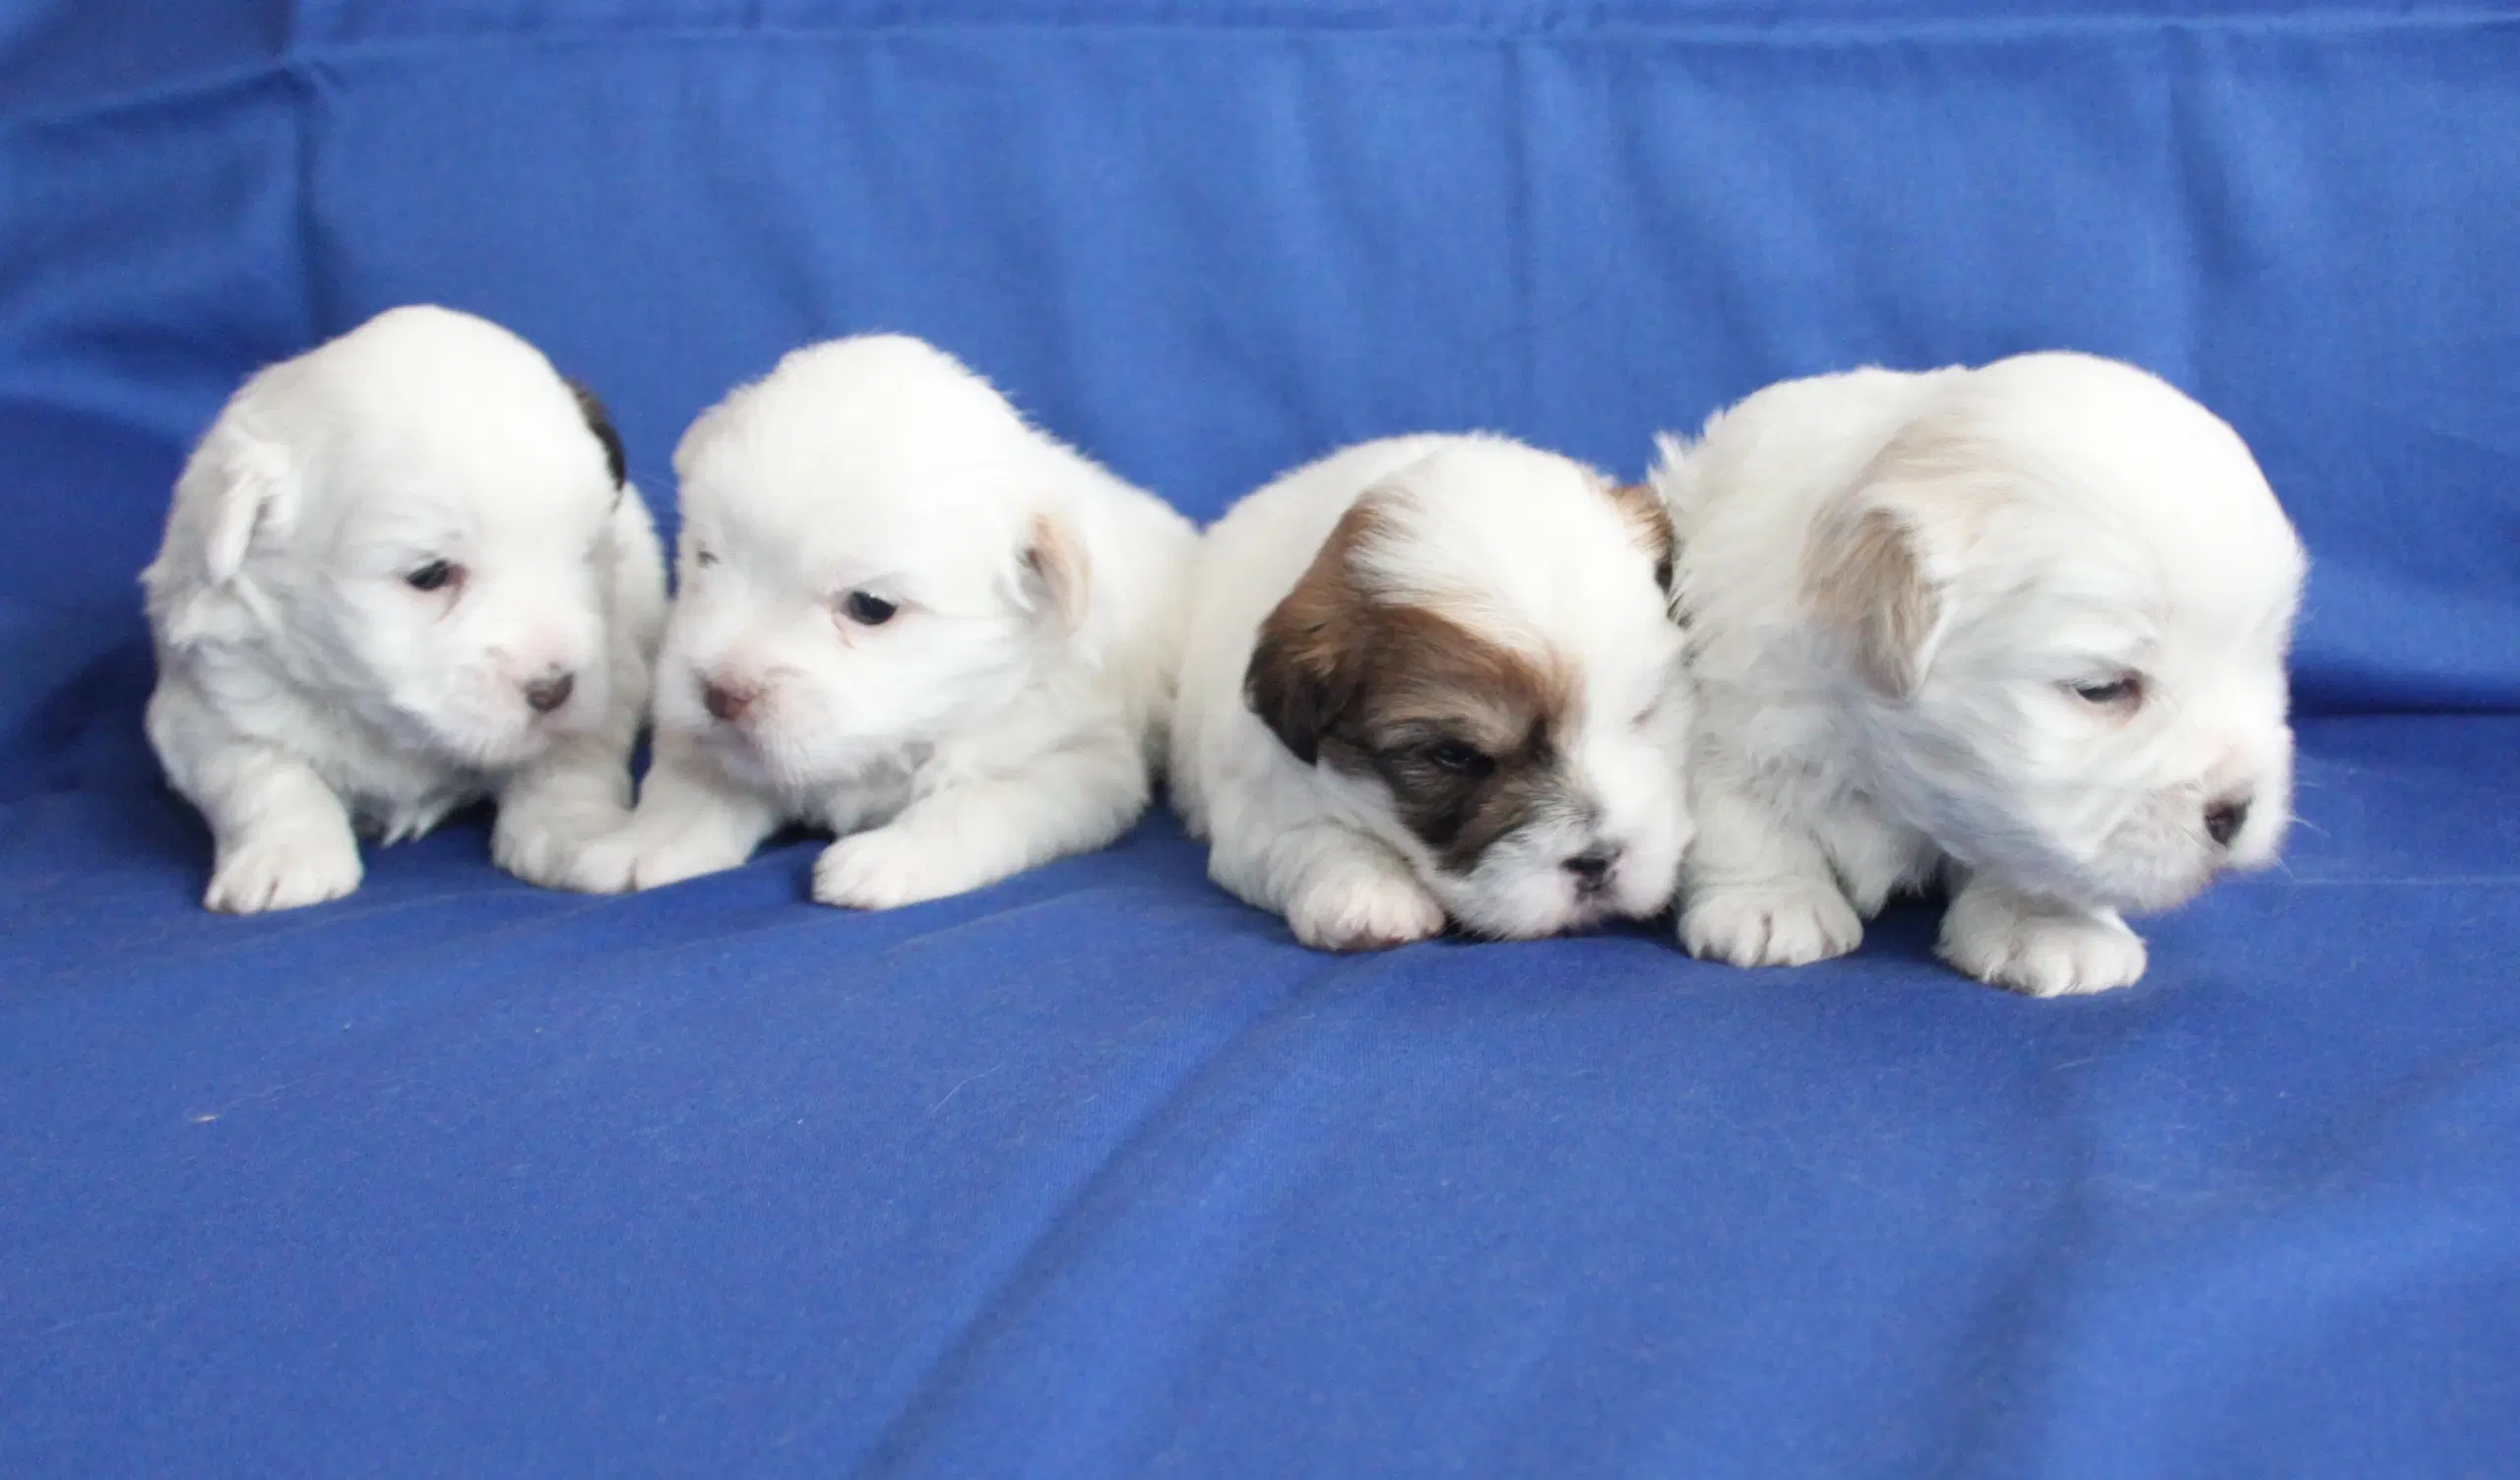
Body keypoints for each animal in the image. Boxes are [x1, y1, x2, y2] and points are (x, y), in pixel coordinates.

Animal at [140, 303, 669, 910]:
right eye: (430, 576)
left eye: (586, 553)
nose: (554, 688)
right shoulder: (205, 700)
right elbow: (258, 768)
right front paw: (289, 853)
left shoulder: (611, 671)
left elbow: (570, 758)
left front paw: (575, 832)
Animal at [577, 337, 1194, 905]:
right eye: (706, 558)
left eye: (871, 608)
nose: (720, 694)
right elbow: (701, 778)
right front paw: (646, 841)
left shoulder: (1082, 758)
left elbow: (982, 802)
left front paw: (888, 858)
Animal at [1173, 432, 1693, 951]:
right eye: (1454, 755)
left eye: (1642, 712)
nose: (1598, 861)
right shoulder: (1255, 806)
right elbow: (1308, 834)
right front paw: (1367, 892)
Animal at [1653, 349, 2307, 996]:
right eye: (2101, 690)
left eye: (2263, 664)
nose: (2238, 810)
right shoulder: (1732, 705)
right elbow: (1742, 807)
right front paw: (1770, 901)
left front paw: (2050, 923)